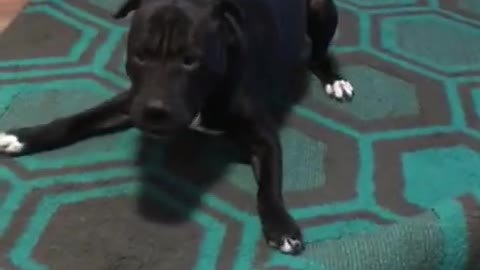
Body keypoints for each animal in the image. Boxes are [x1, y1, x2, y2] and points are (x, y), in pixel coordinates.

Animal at [0, 0, 352, 255]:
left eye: (191, 60)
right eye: (140, 55)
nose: (155, 110)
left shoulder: (263, 138)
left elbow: (269, 185)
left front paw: (280, 225)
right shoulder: (131, 101)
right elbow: (76, 120)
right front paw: (24, 137)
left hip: (323, 11)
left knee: (319, 52)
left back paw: (334, 78)